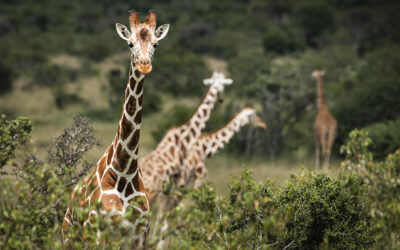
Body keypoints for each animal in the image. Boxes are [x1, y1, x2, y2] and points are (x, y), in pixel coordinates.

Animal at [61, 10, 170, 248]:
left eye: (156, 44)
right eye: (130, 43)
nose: (144, 64)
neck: (124, 172)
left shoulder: (140, 235)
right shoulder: (99, 233)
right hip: (70, 238)